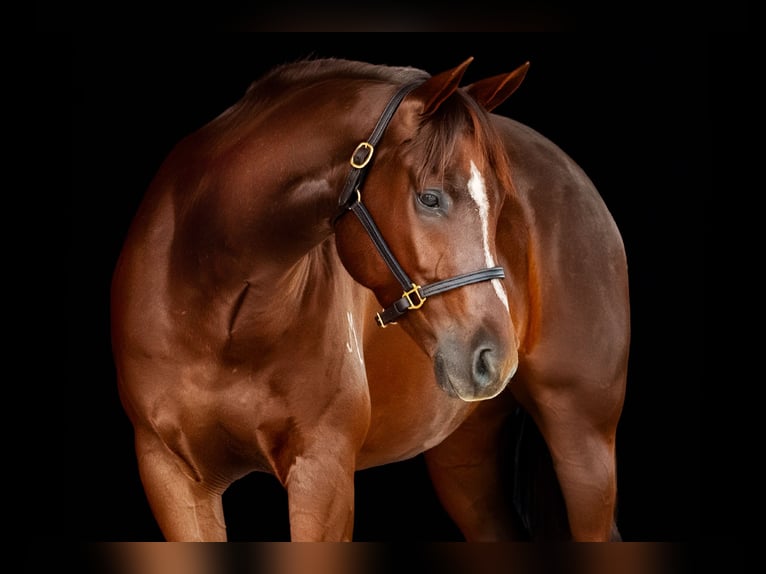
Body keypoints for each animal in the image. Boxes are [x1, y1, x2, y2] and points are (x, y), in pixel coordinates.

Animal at [110, 56, 629, 542]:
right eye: (430, 198)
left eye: (502, 203)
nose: (495, 359)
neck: (217, 311)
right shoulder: (171, 476)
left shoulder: (324, 470)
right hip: (465, 453)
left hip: (583, 440)